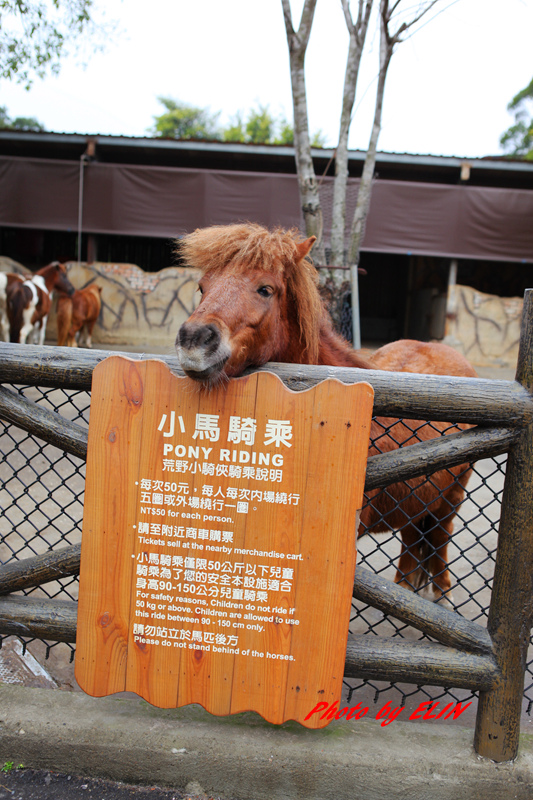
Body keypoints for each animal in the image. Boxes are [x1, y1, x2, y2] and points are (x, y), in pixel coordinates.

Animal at [176, 222, 478, 604]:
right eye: (203, 286)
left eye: (265, 289)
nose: (194, 339)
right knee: (412, 548)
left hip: (449, 502)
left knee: (439, 543)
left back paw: (441, 595)